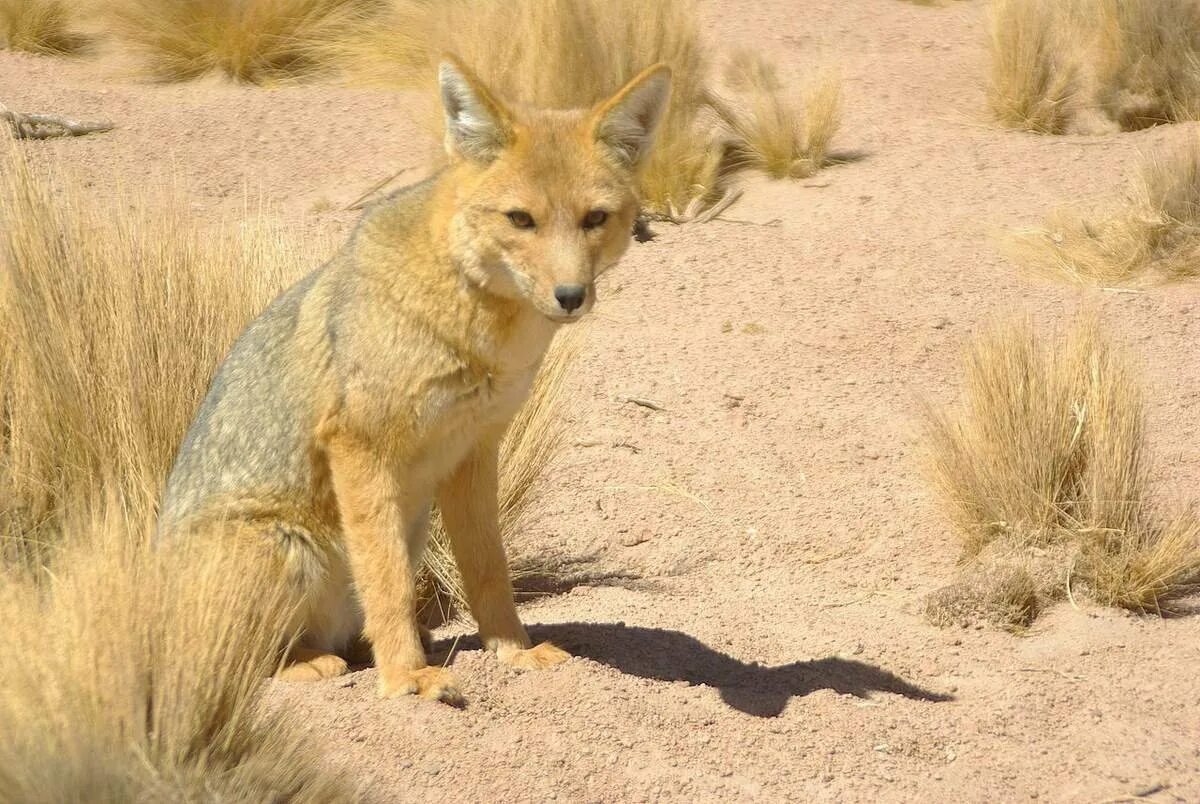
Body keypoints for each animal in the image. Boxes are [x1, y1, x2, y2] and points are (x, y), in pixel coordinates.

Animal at [154, 60, 672, 710]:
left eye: (595, 219)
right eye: (520, 219)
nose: (571, 297)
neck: (477, 334)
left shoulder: (474, 451)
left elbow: (489, 569)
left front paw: (515, 651)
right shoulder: (359, 446)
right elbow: (390, 582)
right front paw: (405, 678)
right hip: (287, 548)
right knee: (232, 666)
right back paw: (316, 664)